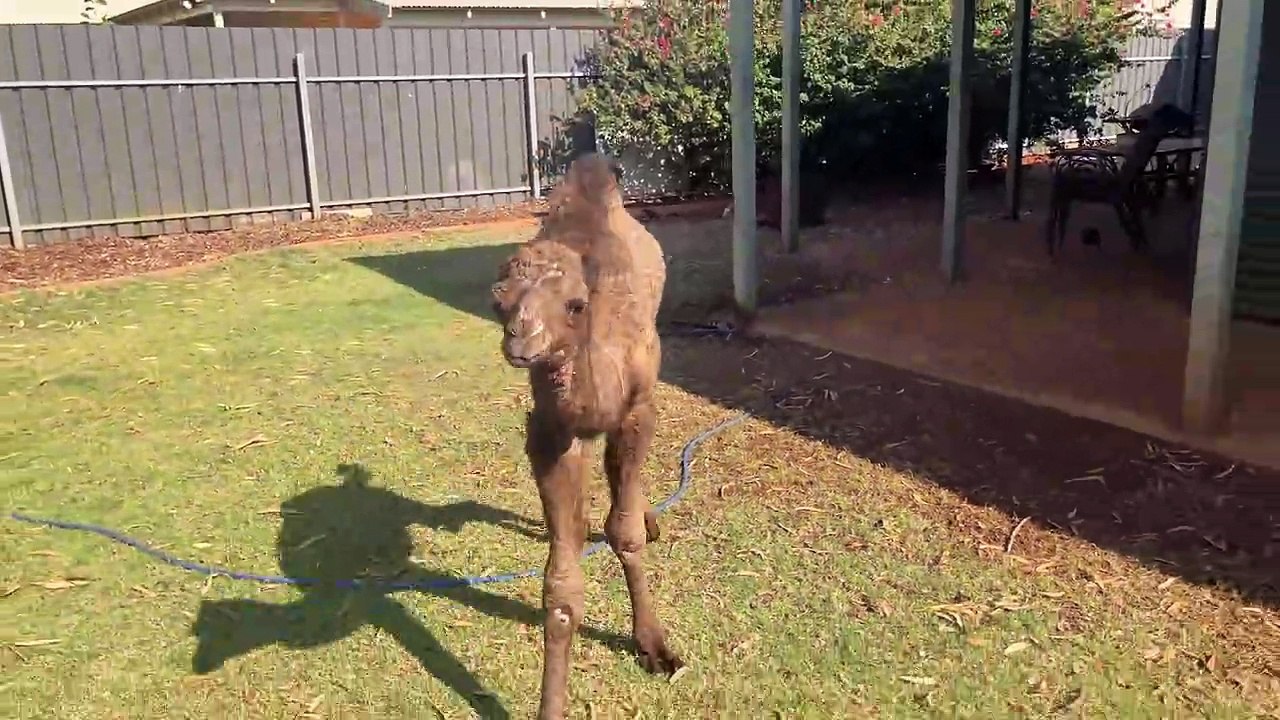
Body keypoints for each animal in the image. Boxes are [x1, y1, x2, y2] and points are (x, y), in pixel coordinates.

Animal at [490, 153, 676, 719]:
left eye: (575, 304)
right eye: (498, 301)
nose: (522, 340)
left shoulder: (637, 410)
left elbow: (625, 534)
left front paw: (655, 647)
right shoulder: (550, 434)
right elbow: (560, 587)